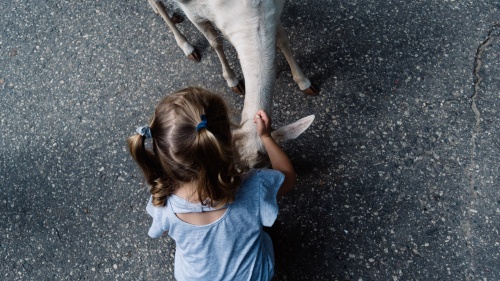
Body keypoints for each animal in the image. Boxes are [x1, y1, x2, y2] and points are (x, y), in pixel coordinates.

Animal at [148, 0, 318, 166]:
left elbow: (283, 40)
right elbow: (215, 43)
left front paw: (305, 82)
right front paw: (232, 80)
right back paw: (187, 47)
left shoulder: (273, 10)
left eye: (267, 163)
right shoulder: (193, 12)